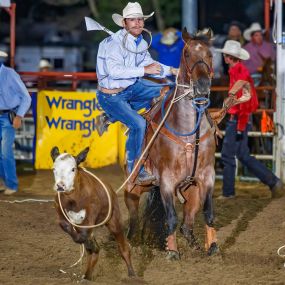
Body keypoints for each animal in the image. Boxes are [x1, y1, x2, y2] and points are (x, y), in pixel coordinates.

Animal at [124, 28, 217, 258]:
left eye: (210, 55)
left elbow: (209, 213)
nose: (202, 86)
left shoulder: (207, 176)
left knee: (187, 224)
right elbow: (171, 218)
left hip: (191, 190)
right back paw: (132, 243)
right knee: (133, 220)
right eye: (186, 53)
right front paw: (173, 252)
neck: (189, 134)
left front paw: (213, 246)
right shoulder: (166, 181)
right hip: (133, 189)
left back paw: (194, 244)